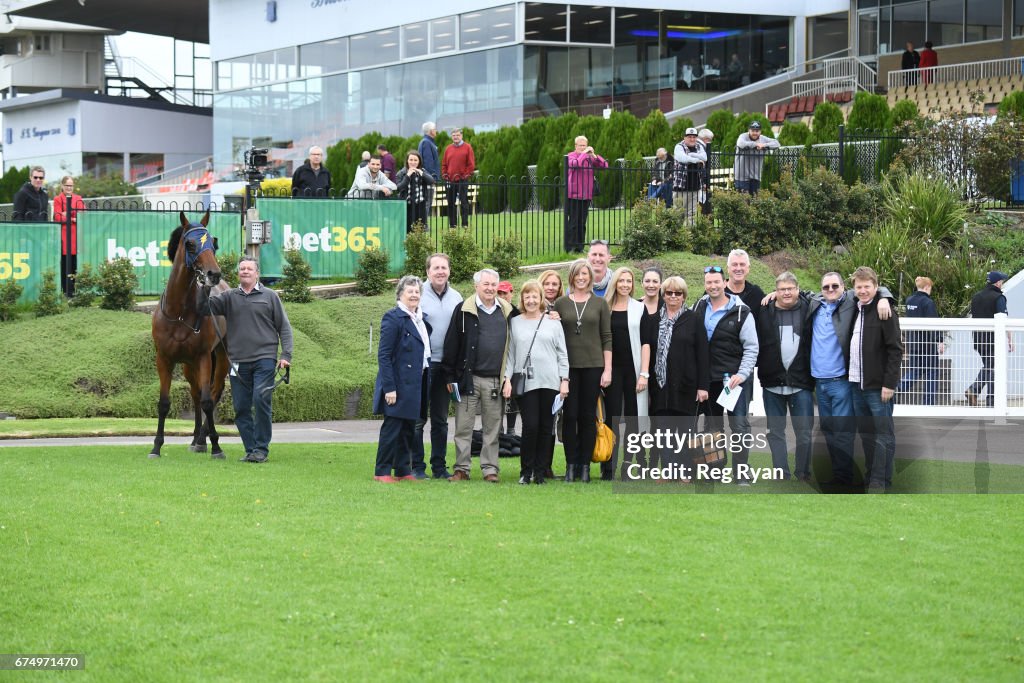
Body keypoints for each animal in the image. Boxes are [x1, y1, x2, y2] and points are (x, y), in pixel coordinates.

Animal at [148, 211, 230, 458]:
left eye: (213, 243)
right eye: (191, 244)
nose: (213, 273)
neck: (179, 314)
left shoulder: (203, 357)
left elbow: (207, 401)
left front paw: (216, 446)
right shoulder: (164, 359)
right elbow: (164, 403)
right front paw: (156, 446)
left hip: (220, 355)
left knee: (213, 391)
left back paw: (203, 438)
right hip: (187, 364)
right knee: (195, 393)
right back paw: (195, 439)